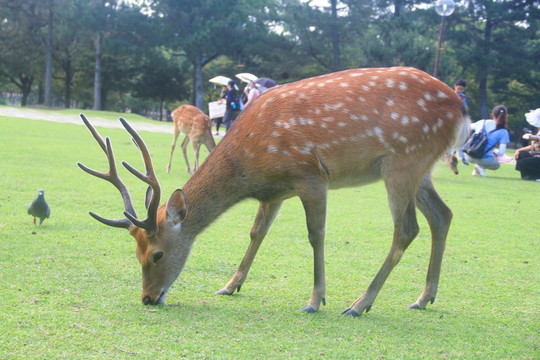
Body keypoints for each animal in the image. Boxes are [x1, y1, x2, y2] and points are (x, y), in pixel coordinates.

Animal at [78, 66, 470, 316]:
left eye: (157, 254)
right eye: (136, 253)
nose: (147, 297)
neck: (250, 166)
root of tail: (459, 109)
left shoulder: (310, 174)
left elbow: (315, 235)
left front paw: (315, 300)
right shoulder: (275, 192)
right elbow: (257, 233)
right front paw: (229, 285)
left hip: (403, 160)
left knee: (407, 229)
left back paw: (360, 304)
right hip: (421, 168)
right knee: (443, 215)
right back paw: (423, 298)